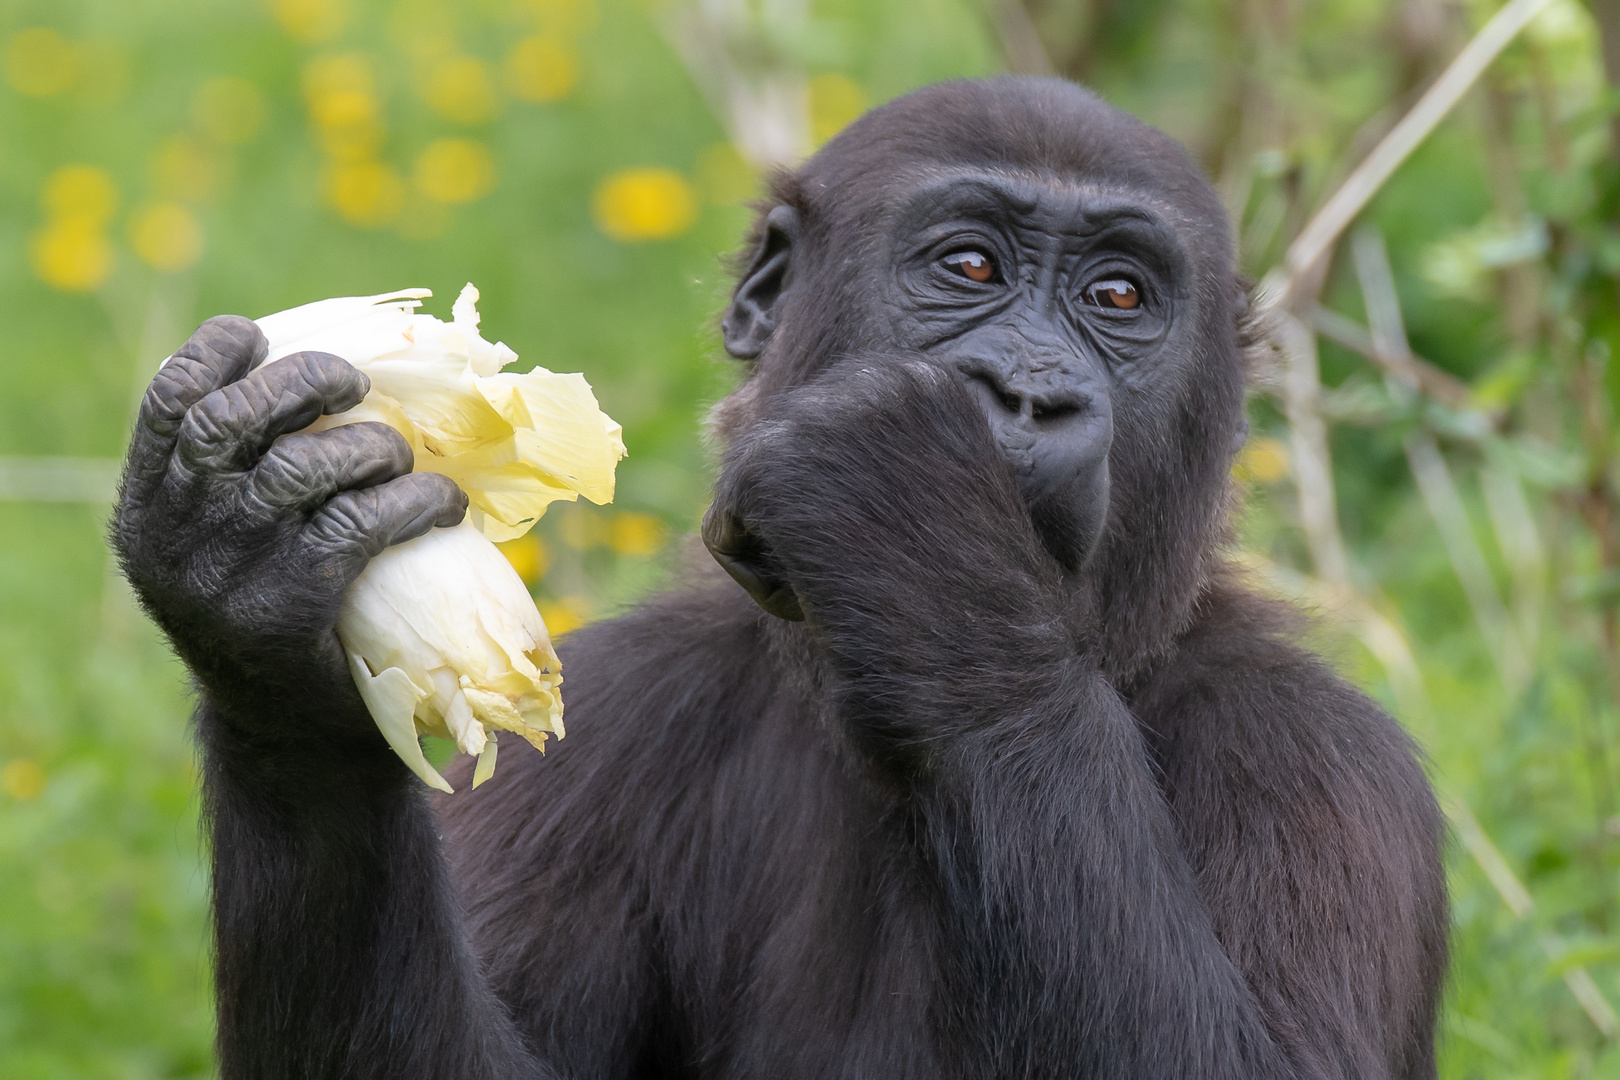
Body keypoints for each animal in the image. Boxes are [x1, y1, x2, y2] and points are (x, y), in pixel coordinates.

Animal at [117, 78, 1458, 1080]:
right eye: (970, 268)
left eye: (1119, 297)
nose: (1028, 391)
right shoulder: (618, 707)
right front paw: (265, 628)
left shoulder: (1324, 766)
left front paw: (919, 535)